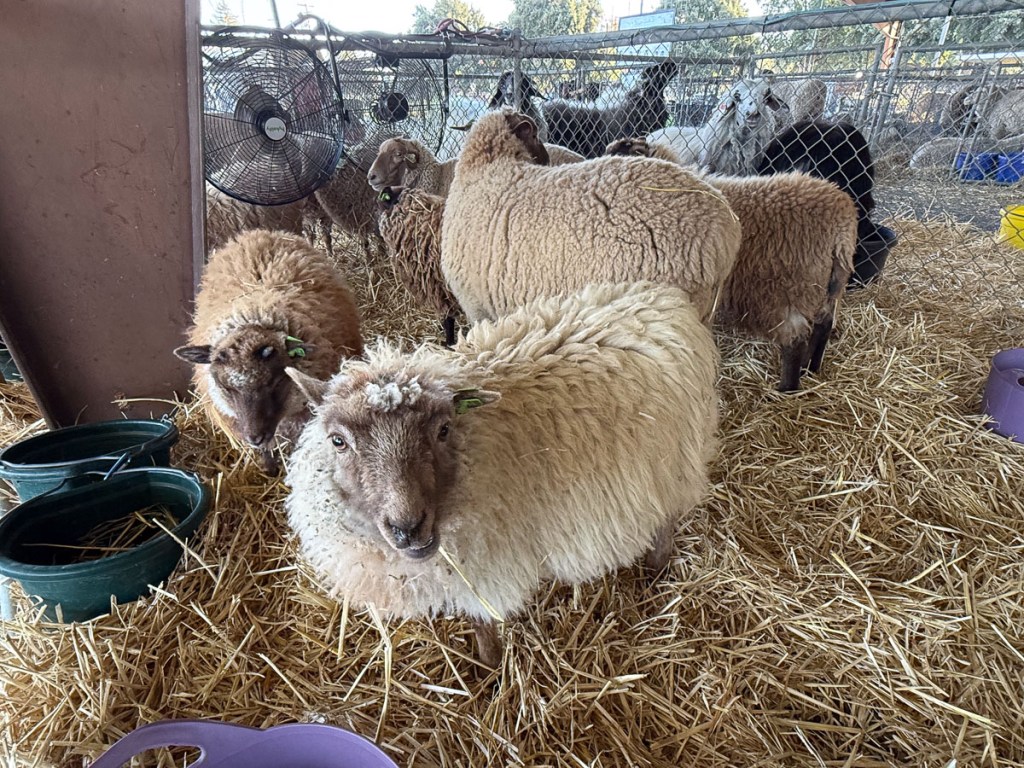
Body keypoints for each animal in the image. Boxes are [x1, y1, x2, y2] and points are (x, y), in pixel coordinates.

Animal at [174, 229, 363, 474]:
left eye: (275, 381)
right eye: (226, 387)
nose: (255, 438)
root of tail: (260, 233)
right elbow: (266, 455)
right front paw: (270, 471)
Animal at [283, 281, 720, 667]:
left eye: (444, 430)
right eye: (338, 441)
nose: (408, 529)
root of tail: (663, 298)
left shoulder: (485, 567)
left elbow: (482, 625)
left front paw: (489, 669)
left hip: (674, 465)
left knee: (666, 520)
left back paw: (656, 572)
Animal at [605, 137, 856, 391]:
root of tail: (842, 224)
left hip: (790, 289)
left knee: (796, 339)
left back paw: (787, 388)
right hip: (829, 285)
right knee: (823, 325)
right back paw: (811, 367)